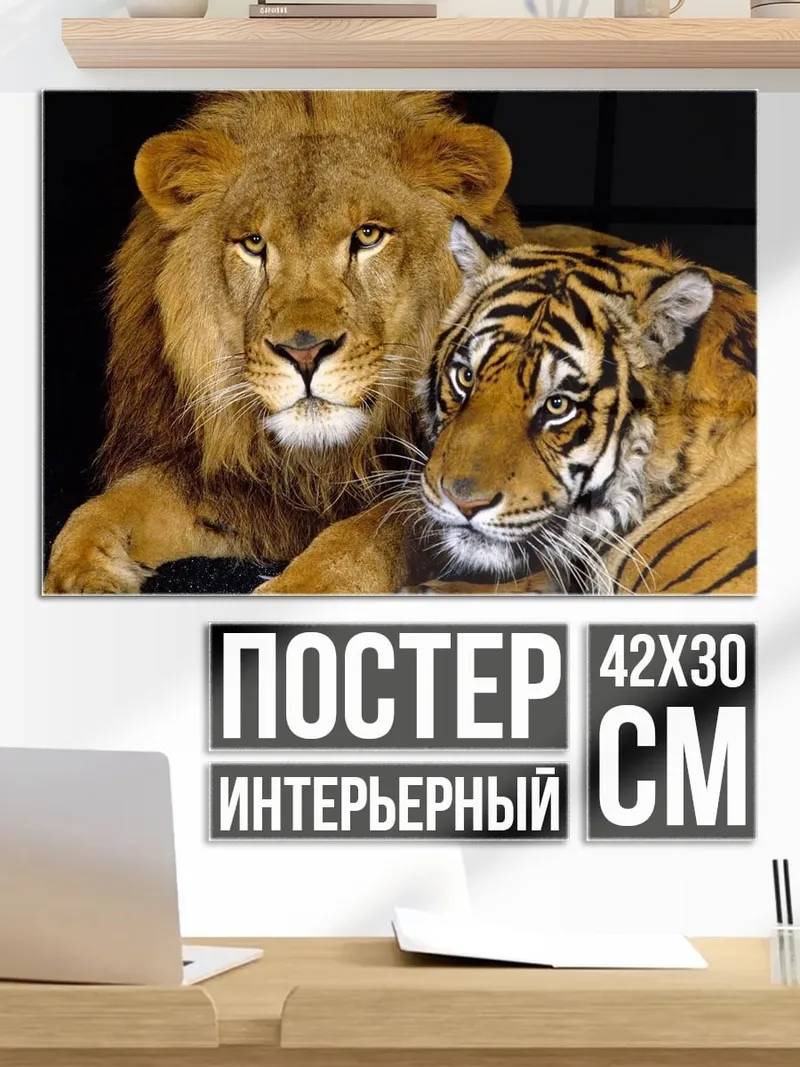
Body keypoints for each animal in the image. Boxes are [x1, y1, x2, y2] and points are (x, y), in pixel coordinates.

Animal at [43, 91, 523, 594]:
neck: (320, 463)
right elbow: (105, 508)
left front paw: (296, 587)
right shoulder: (234, 489)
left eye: (368, 235)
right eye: (254, 243)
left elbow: (372, 532)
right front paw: (80, 577)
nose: (304, 353)